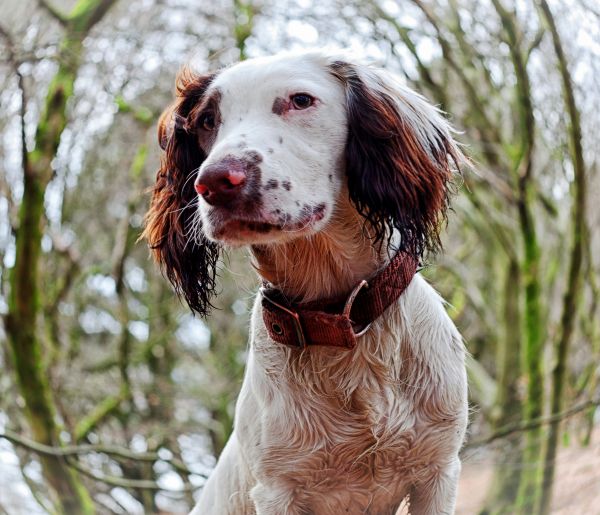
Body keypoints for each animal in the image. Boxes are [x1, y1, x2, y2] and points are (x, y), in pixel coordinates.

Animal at [144, 49, 468, 515]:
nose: (215, 182)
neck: (337, 320)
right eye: (207, 120)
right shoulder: (277, 490)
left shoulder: (439, 472)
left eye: (300, 101)